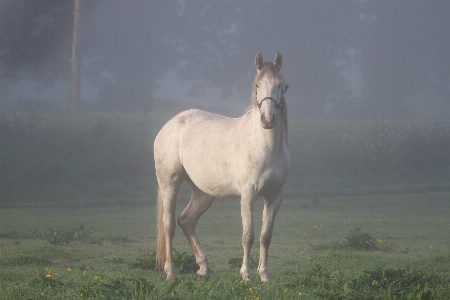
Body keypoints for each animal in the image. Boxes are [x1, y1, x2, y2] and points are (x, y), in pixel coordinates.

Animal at [153, 52, 290, 284]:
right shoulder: (248, 195)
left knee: (186, 221)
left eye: (280, 85)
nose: (267, 119)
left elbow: (266, 236)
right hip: (169, 182)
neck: (267, 146)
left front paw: (264, 276)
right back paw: (171, 272)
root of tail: (169, 126)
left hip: (203, 193)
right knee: (169, 225)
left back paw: (203, 269)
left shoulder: (275, 196)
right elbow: (248, 235)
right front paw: (246, 275)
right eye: (257, 84)